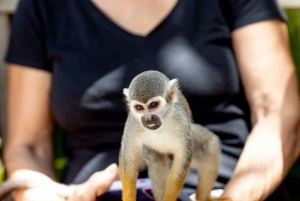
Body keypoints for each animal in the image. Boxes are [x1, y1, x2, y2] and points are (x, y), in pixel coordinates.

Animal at [118, 70, 229, 201]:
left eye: (153, 105)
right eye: (139, 107)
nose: (148, 118)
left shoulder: (181, 120)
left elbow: (183, 158)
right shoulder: (133, 124)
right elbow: (128, 160)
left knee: (211, 145)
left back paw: (203, 198)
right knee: (156, 160)